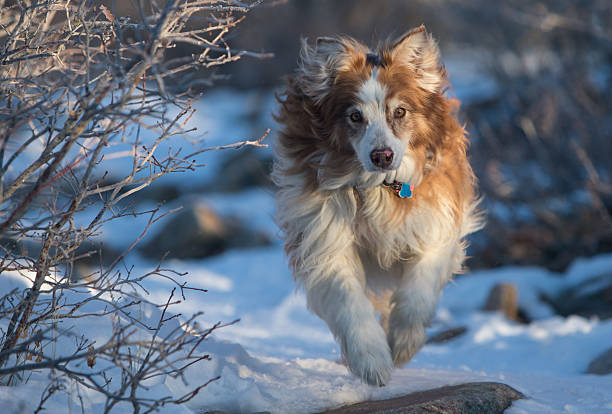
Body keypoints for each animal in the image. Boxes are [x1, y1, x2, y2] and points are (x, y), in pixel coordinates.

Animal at [272, 26, 482, 388]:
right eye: (355, 116)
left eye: (399, 112)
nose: (382, 156)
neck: (379, 189)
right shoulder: (325, 236)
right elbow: (348, 300)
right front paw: (373, 363)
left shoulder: (435, 222)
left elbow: (418, 291)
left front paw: (402, 343)